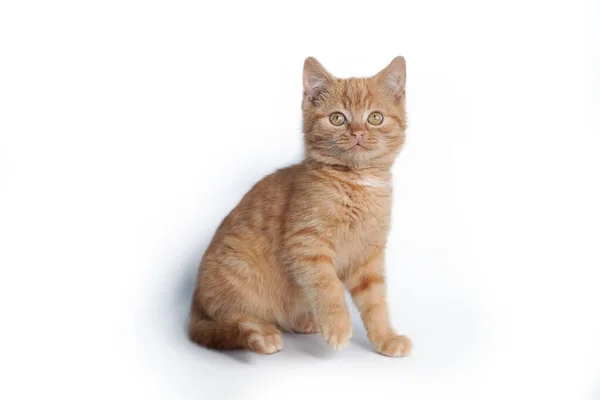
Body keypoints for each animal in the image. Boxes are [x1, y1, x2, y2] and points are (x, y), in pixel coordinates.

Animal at [190, 55, 410, 356]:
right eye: (337, 118)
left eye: (375, 118)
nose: (357, 133)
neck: (356, 183)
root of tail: (195, 299)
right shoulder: (307, 243)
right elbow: (327, 286)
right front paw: (338, 326)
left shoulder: (369, 254)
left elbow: (376, 302)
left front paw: (386, 338)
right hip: (237, 272)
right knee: (233, 319)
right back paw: (264, 335)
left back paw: (304, 321)